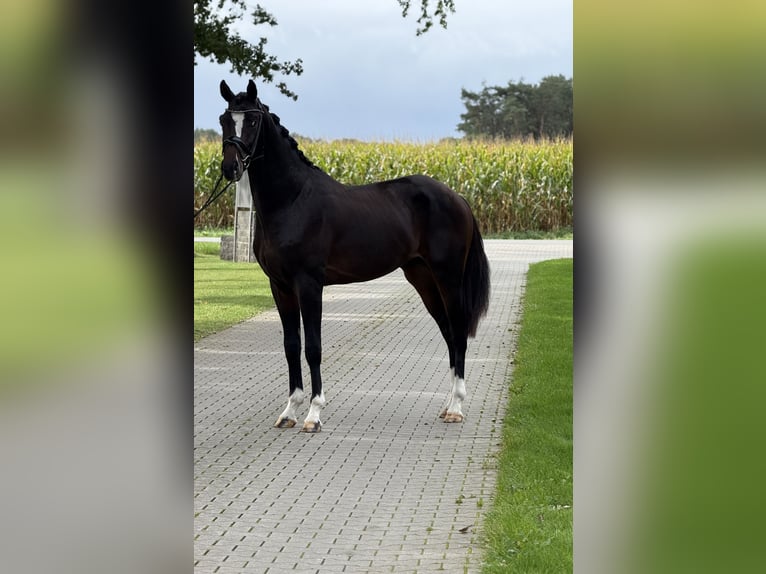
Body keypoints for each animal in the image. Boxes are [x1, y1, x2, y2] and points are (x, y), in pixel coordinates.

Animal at [219, 79, 491, 433]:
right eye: (225, 120)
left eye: (251, 120)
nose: (230, 167)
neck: (292, 200)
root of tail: (457, 197)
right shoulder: (279, 286)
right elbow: (292, 347)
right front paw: (290, 411)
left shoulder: (309, 284)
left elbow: (313, 347)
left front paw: (314, 414)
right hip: (422, 277)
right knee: (448, 333)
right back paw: (447, 406)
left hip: (449, 278)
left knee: (458, 332)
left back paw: (457, 408)